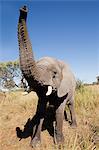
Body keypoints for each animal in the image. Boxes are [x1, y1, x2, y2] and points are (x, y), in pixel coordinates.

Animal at [17, 5, 76, 148]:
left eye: (54, 74)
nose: (24, 9)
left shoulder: (63, 88)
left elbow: (59, 109)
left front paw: (60, 144)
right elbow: (40, 111)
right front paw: (35, 144)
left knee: (71, 104)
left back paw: (73, 126)